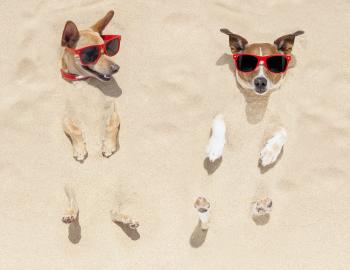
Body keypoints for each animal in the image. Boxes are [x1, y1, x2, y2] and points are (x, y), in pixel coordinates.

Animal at [60, 10, 120, 161]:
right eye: (90, 54)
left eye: (108, 49)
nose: (116, 68)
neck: (85, 82)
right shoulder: (66, 117)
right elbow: (75, 130)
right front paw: (80, 149)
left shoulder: (113, 108)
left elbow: (112, 125)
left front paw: (108, 145)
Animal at [220, 28, 302, 167]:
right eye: (248, 63)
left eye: (274, 64)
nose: (260, 82)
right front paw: (214, 148)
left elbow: (283, 132)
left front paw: (270, 152)